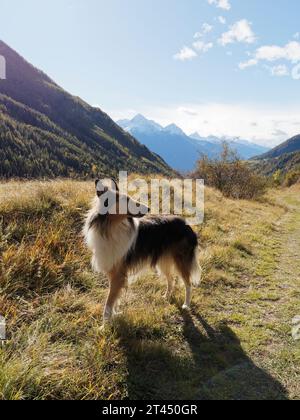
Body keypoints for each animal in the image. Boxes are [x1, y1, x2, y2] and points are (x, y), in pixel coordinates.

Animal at [82, 177, 202, 324]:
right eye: (126, 200)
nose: (148, 208)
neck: (111, 227)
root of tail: (187, 225)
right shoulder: (115, 273)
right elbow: (114, 299)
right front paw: (113, 316)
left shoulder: (118, 274)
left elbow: (109, 303)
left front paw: (104, 325)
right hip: (164, 261)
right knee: (171, 279)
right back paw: (166, 297)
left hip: (181, 261)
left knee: (188, 284)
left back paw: (186, 305)